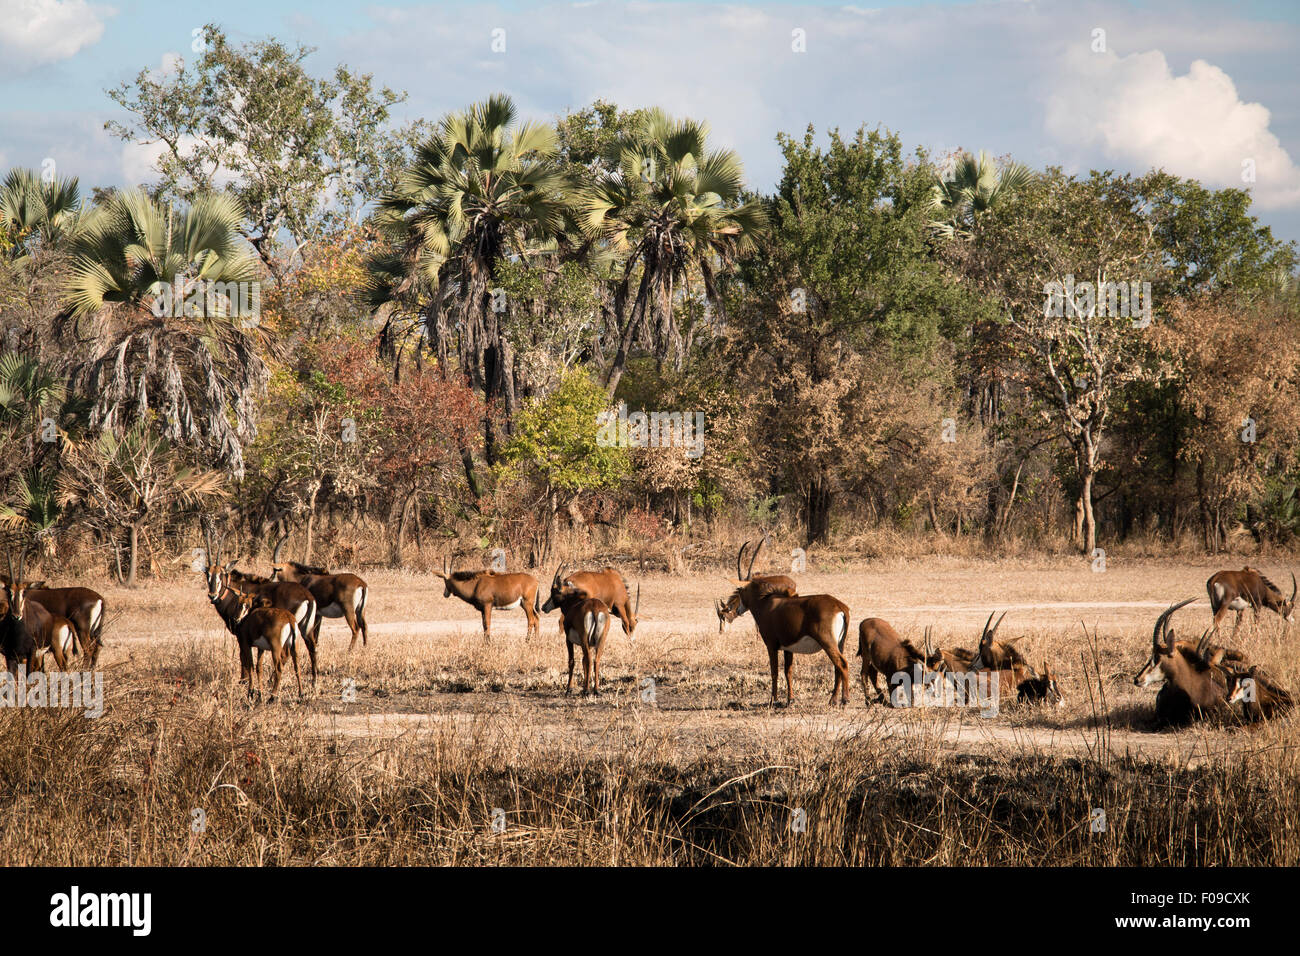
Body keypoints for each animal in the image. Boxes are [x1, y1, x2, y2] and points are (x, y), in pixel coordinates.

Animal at [543, 567, 613, 697]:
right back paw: (596, 690)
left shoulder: (568, 640)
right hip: (601, 639)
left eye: (553, 592)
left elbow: (572, 661)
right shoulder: (588, 644)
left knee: (589, 659)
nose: (543, 607)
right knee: (595, 660)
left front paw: (569, 689)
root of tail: (595, 609)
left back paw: (586, 691)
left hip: (584, 638)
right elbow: (583, 661)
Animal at [728, 572, 847, 707]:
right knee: (837, 667)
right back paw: (834, 700)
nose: (736, 609)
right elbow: (788, 672)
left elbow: (774, 672)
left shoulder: (771, 646)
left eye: (740, 590)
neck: (765, 603)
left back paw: (844, 699)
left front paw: (773, 700)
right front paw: (790, 699)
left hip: (828, 643)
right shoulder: (788, 648)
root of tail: (839, 606)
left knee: (842, 664)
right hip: (839, 644)